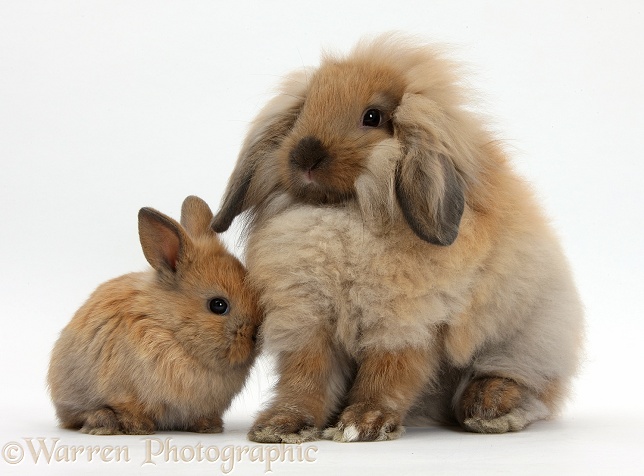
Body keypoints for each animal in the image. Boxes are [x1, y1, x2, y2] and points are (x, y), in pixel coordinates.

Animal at [48, 195, 262, 434]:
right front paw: (138, 426)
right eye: (218, 305)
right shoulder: (124, 392)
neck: (170, 330)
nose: (256, 334)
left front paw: (210, 426)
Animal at [211, 34, 584, 442]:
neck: (343, 212)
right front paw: (281, 426)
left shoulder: (404, 324)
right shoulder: (308, 322)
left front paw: (362, 424)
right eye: (303, 111)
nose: (304, 155)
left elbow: (388, 375)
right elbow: (307, 379)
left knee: (531, 385)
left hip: (529, 336)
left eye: (372, 117)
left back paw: (488, 407)